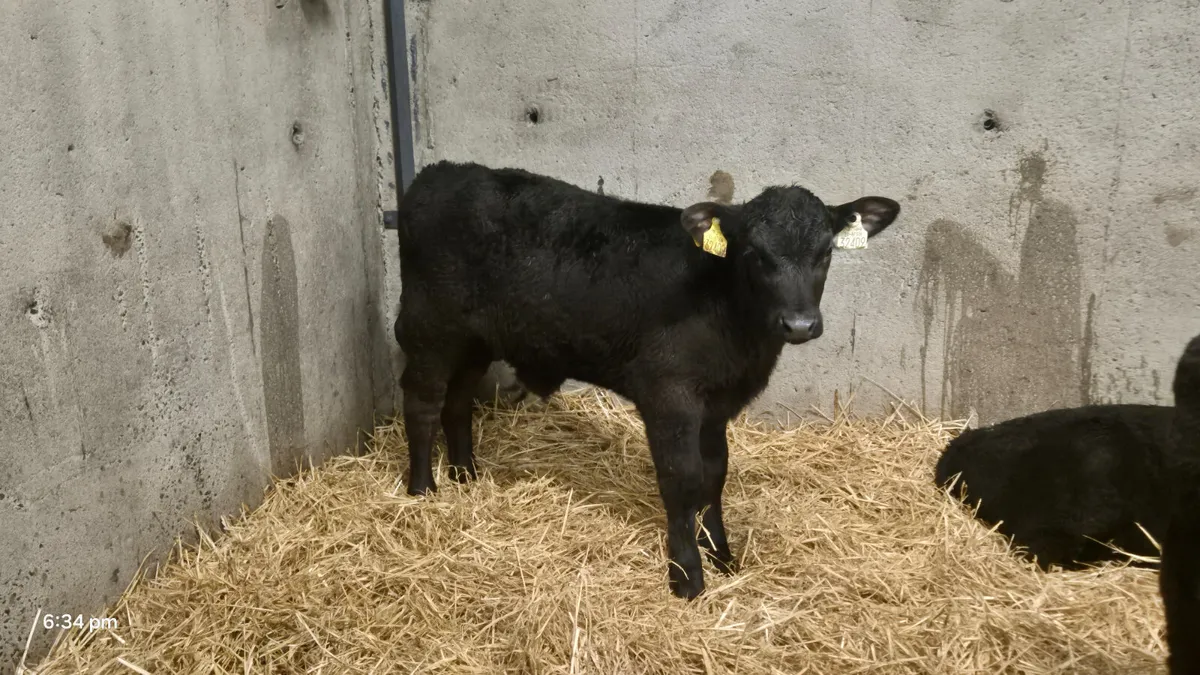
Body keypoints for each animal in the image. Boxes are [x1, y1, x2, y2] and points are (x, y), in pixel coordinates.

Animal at [394, 160, 901, 599]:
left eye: (825, 252)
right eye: (755, 253)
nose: (798, 324)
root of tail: (439, 172)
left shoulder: (717, 404)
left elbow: (715, 474)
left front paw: (722, 555)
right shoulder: (669, 395)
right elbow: (682, 478)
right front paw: (687, 575)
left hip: (475, 340)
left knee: (457, 402)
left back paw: (465, 476)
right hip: (429, 327)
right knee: (423, 402)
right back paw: (422, 488)